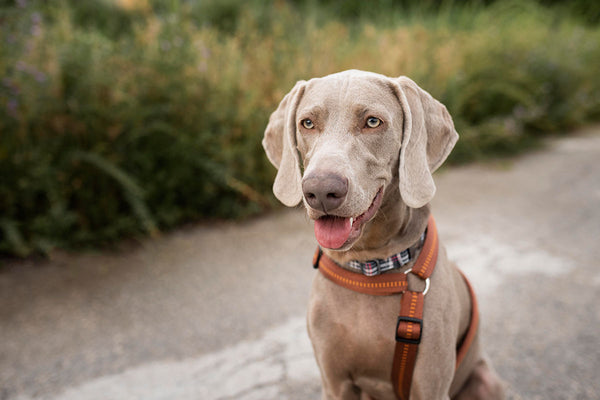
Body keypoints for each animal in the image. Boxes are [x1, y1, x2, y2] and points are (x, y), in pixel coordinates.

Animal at [262, 70, 502, 398]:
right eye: (307, 123)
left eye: (373, 122)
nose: (321, 191)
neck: (369, 268)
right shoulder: (335, 384)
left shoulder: (431, 387)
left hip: (486, 381)